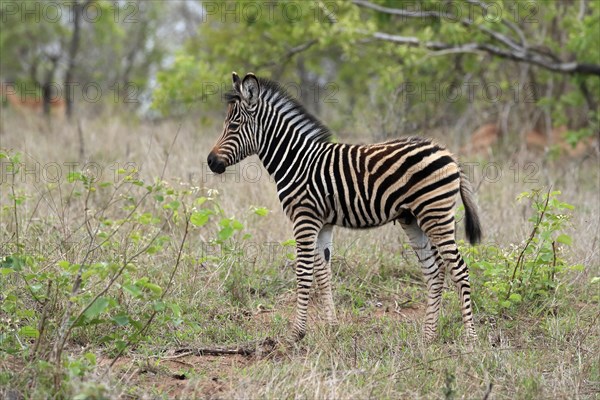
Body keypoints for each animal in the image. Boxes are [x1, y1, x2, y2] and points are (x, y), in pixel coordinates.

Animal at [207, 73, 482, 342]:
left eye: (233, 125)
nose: (210, 162)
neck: (296, 161)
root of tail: (448, 153)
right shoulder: (323, 223)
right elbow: (323, 273)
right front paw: (332, 326)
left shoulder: (304, 218)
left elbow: (304, 273)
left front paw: (296, 333)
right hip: (413, 218)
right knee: (434, 271)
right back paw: (428, 337)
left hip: (435, 214)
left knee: (459, 269)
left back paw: (469, 339)